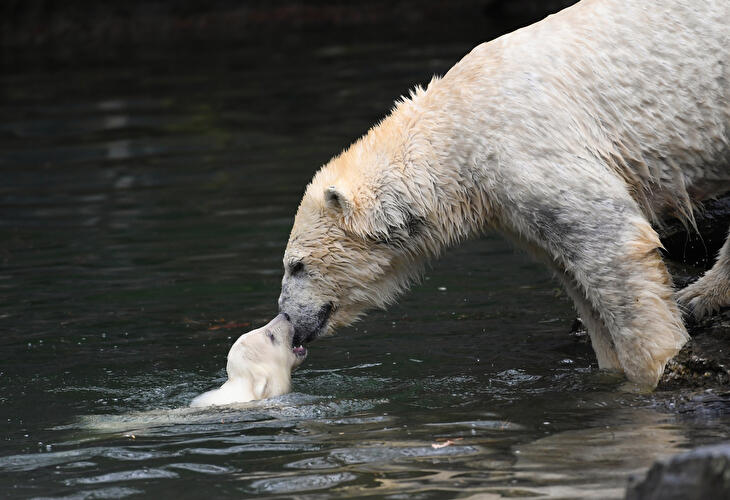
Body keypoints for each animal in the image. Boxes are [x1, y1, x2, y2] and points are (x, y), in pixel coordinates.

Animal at [277, 0, 730, 389]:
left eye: (297, 265)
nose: (288, 319)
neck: (458, 129)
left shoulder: (529, 150)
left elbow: (612, 244)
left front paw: (656, 367)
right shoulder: (508, 203)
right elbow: (573, 271)